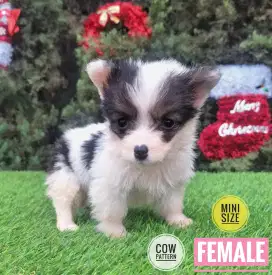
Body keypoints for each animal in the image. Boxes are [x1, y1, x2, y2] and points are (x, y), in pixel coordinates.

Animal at [44, 58, 219, 239]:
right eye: (122, 122)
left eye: (168, 123)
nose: (140, 150)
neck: (146, 167)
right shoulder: (109, 184)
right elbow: (112, 210)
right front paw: (113, 231)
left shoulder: (173, 182)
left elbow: (173, 204)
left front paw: (178, 220)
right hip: (65, 177)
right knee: (63, 200)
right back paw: (66, 224)